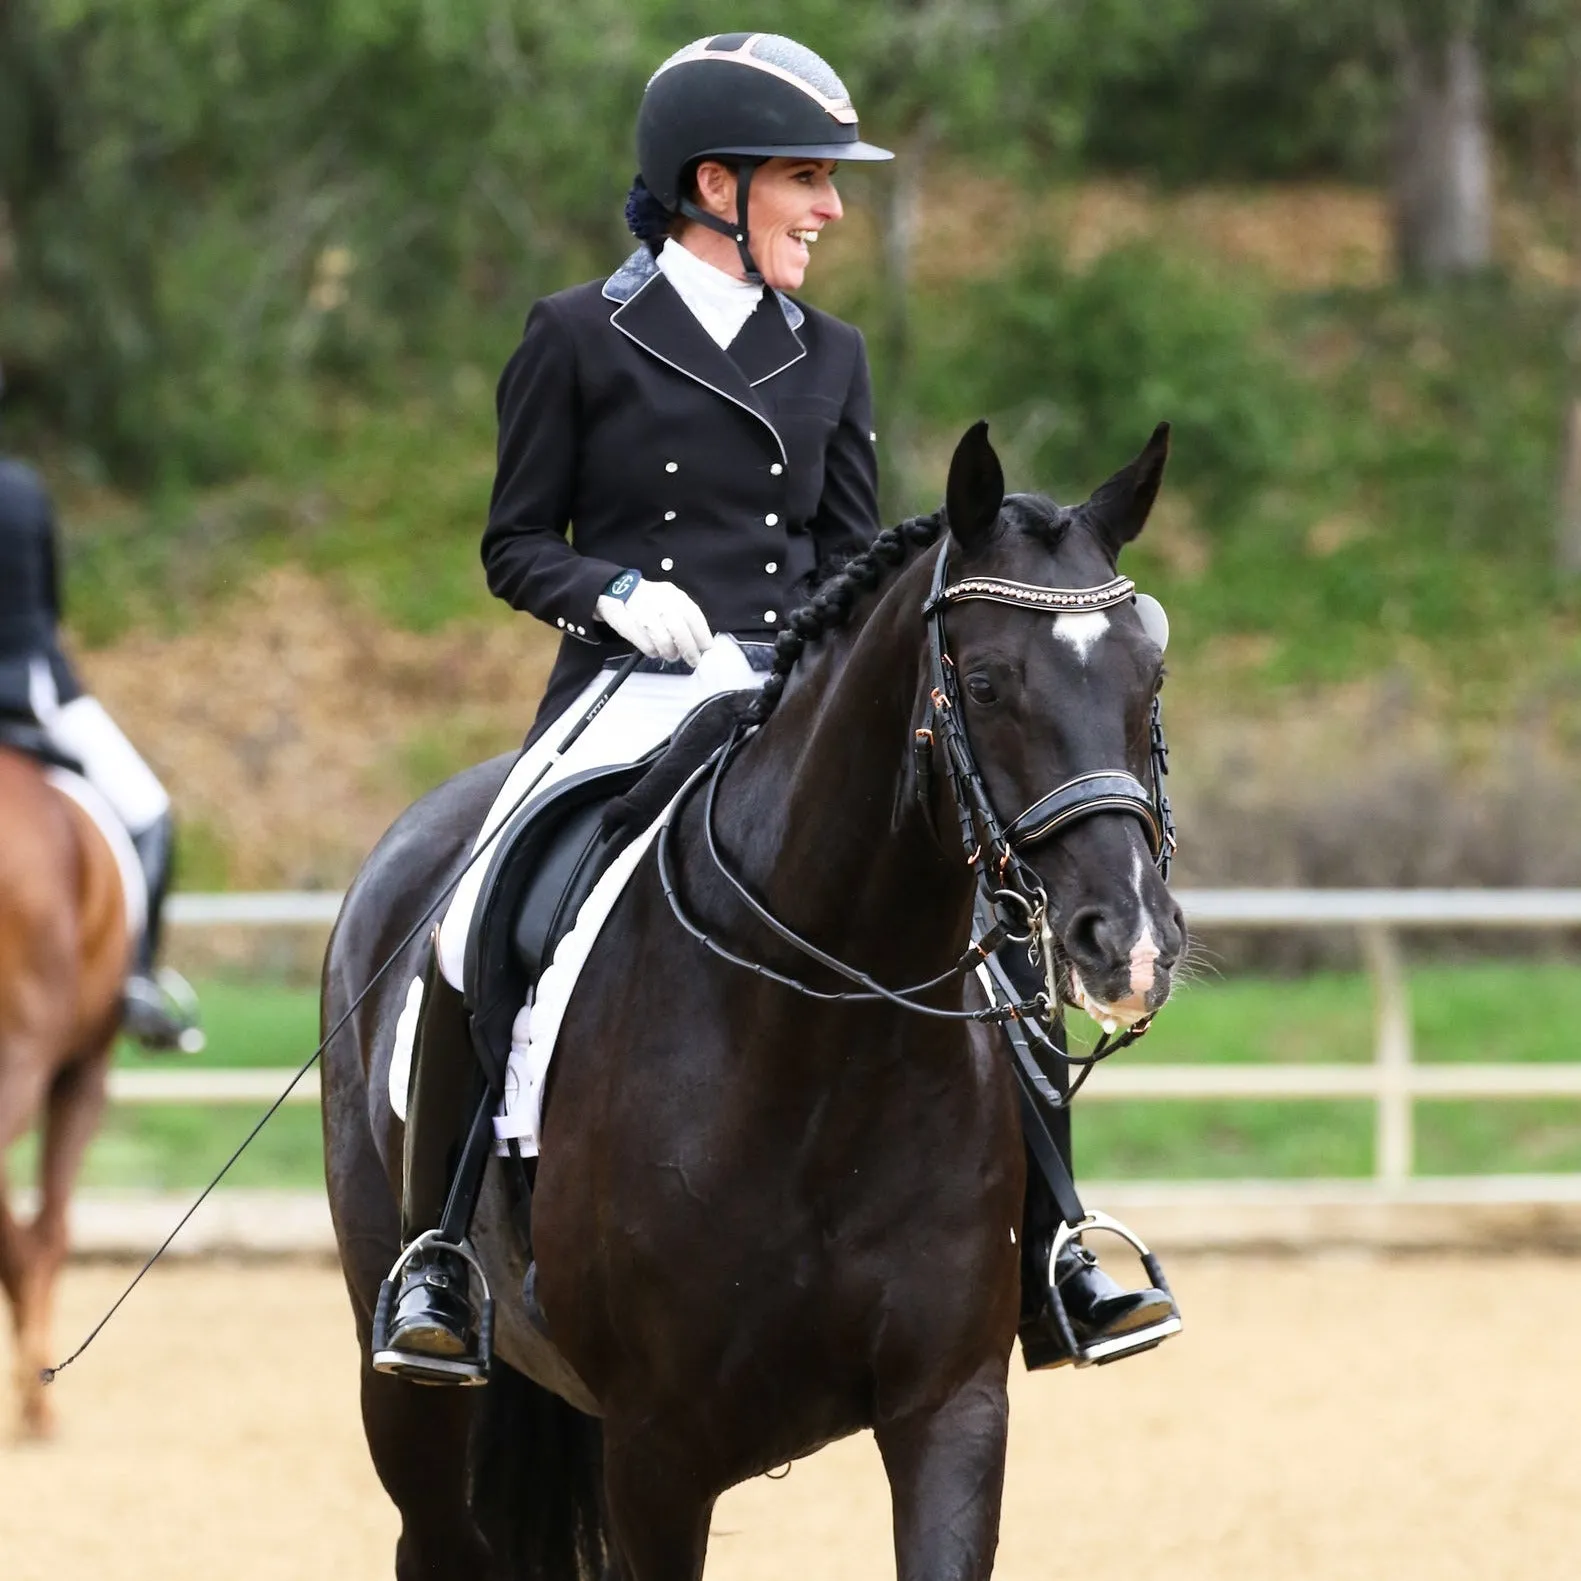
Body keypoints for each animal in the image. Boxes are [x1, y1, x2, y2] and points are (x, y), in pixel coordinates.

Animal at [320, 423, 1188, 1581]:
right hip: (415, 1408)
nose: (1128, 942)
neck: (825, 1036)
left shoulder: (951, 1409)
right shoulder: (656, 1455)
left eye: (1151, 672)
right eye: (988, 683)